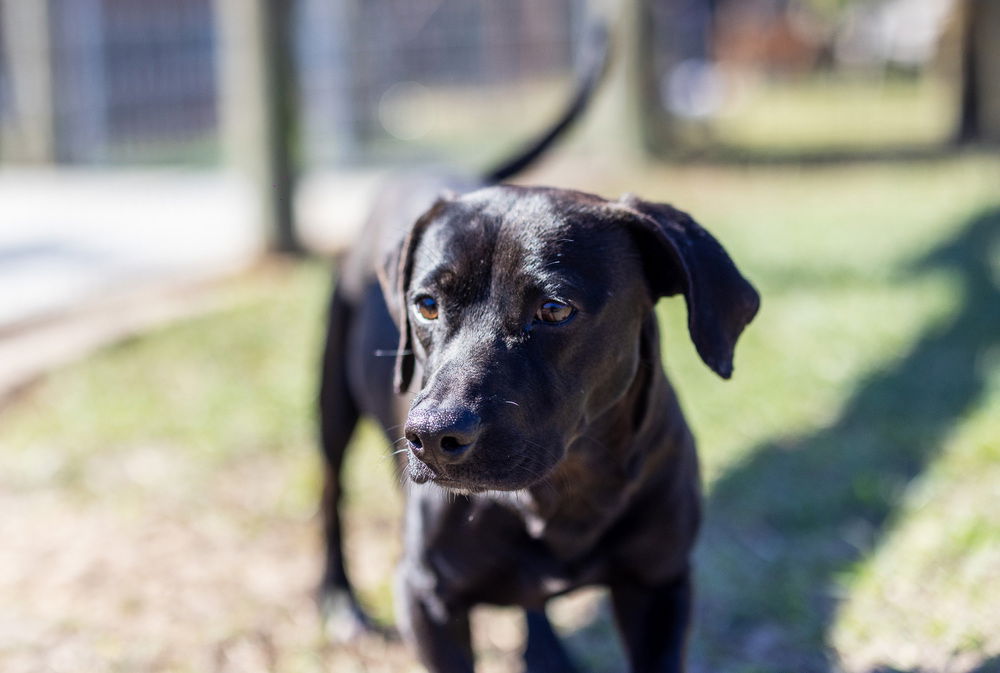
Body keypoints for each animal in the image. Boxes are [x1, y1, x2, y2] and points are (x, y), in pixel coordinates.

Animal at [316, 34, 752, 672]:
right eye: (426, 305)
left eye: (554, 309)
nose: (431, 436)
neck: (563, 490)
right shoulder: (428, 599)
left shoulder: (660, 586)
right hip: (331, 404)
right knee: (330, 493)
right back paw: (339, 601)